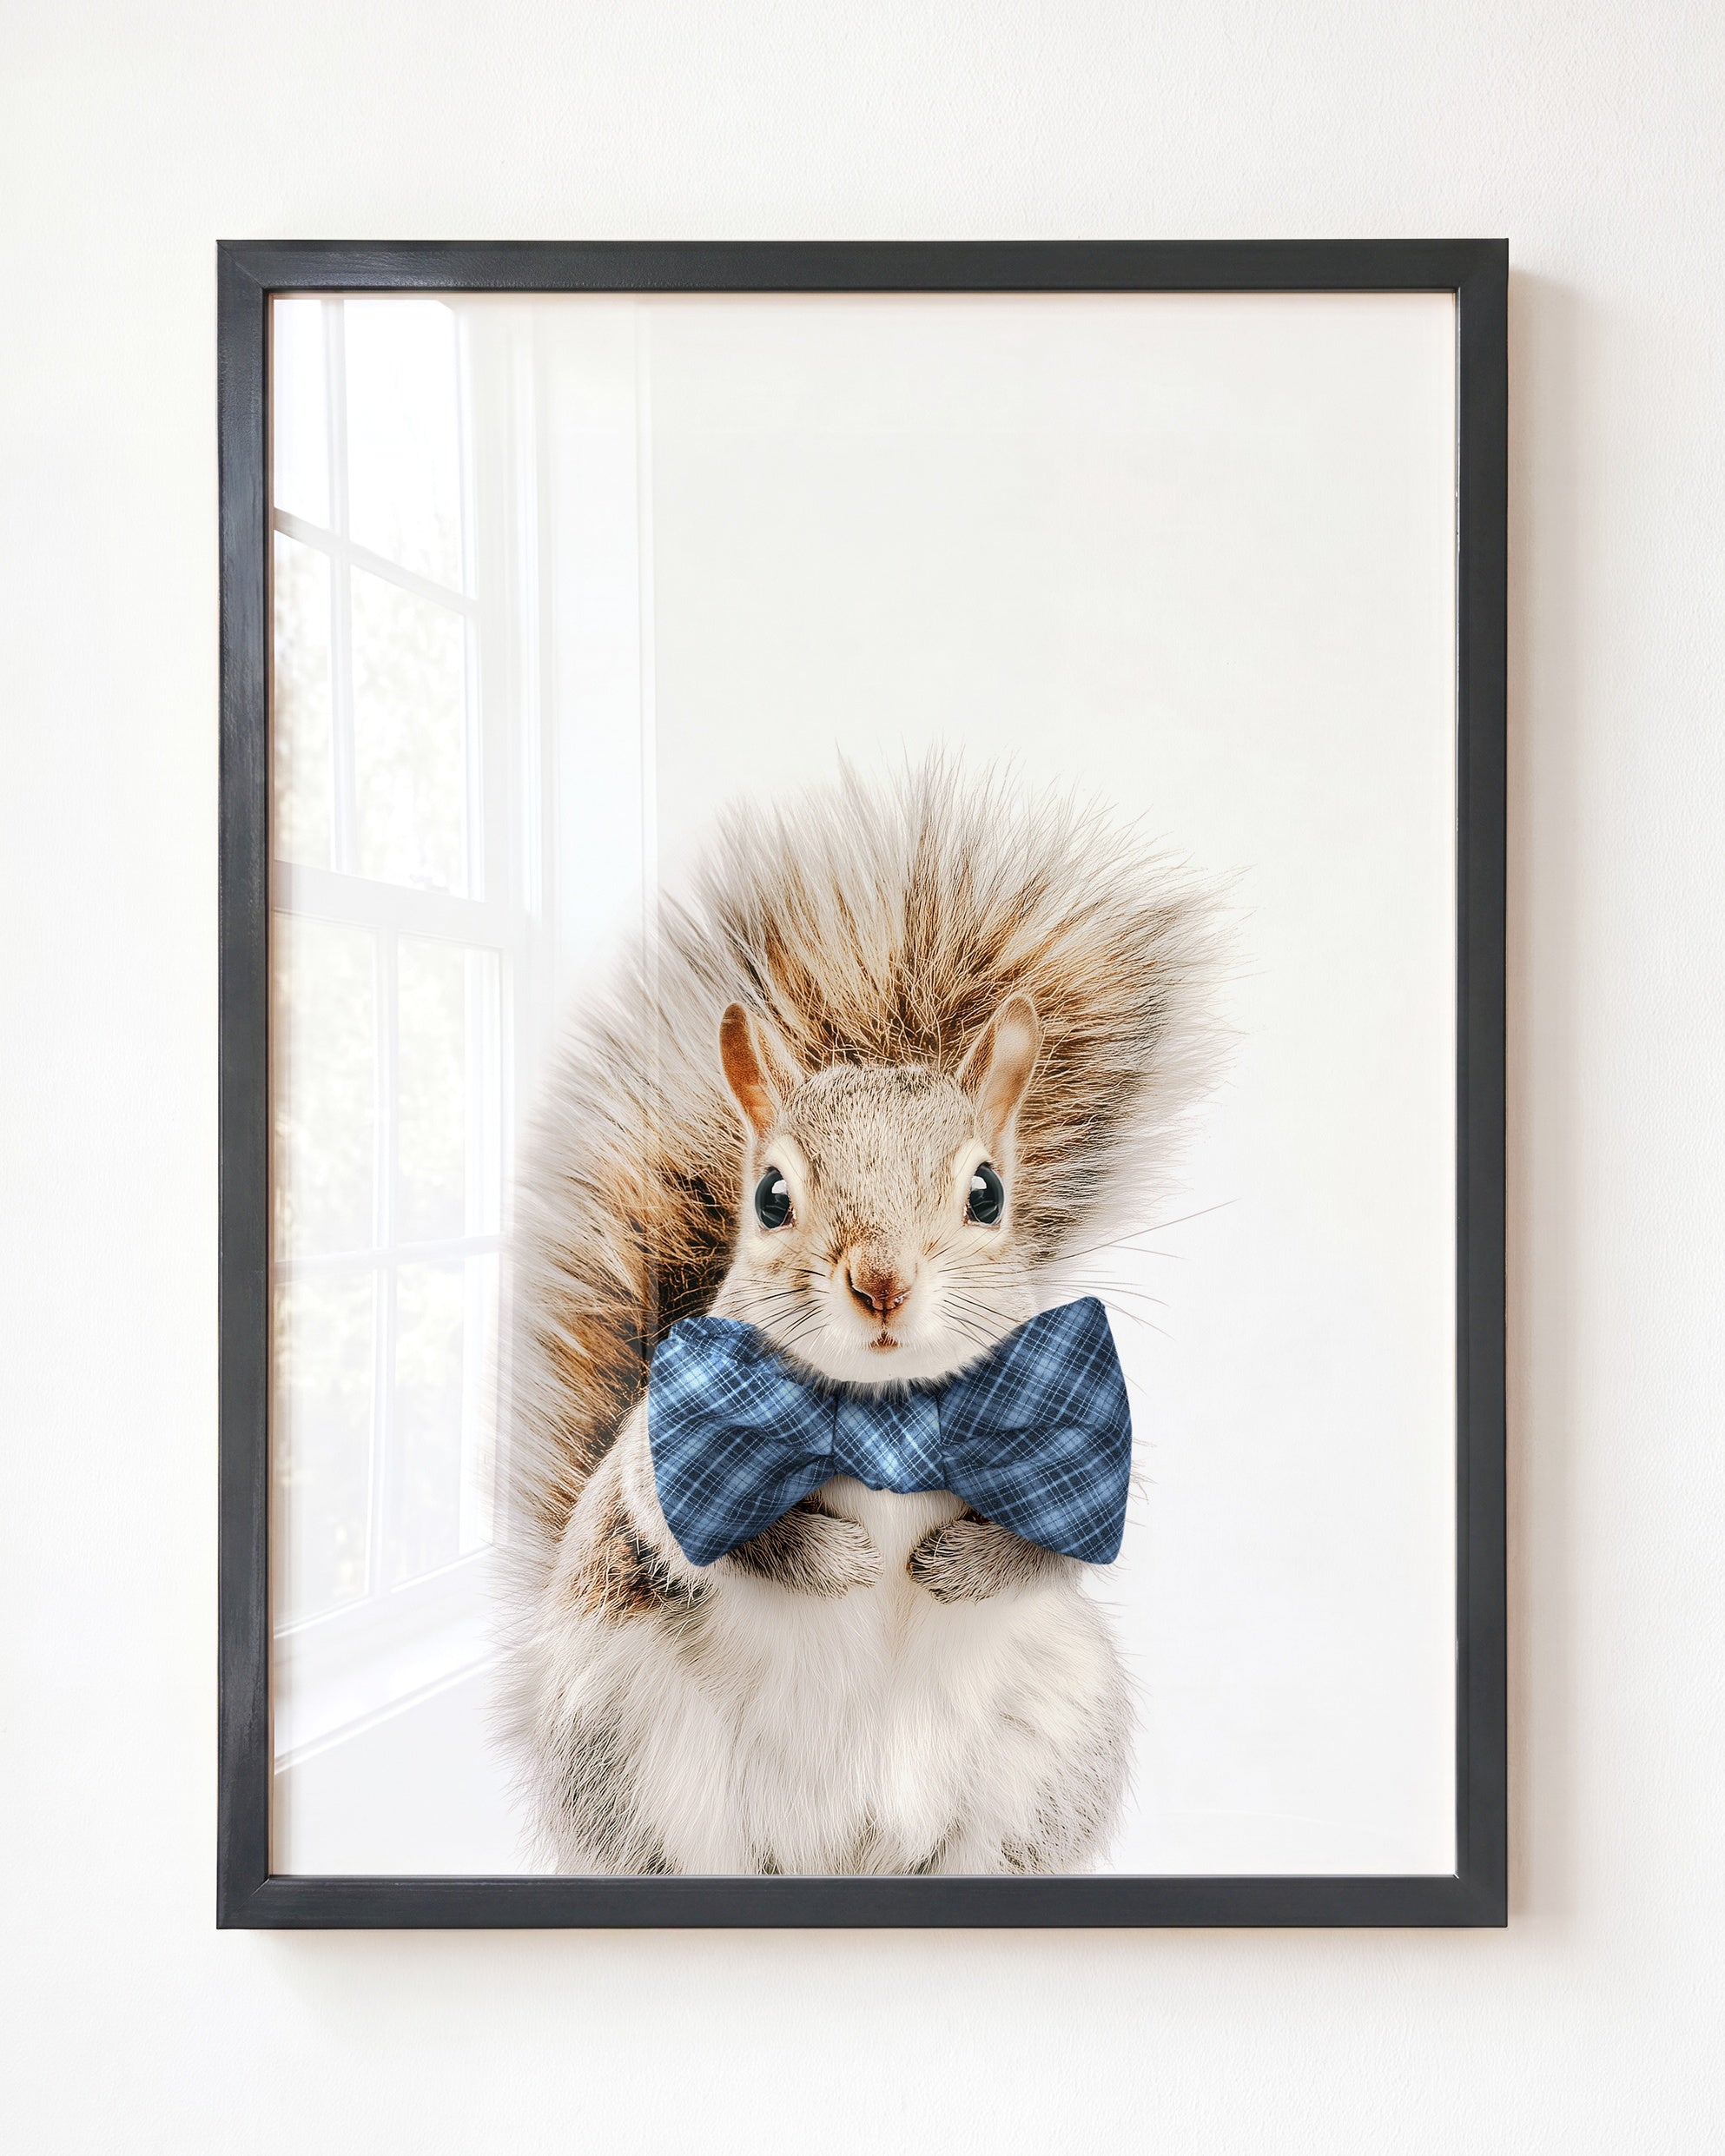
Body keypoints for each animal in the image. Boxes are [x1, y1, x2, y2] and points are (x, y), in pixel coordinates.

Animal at [495, 759, 1218, 1875]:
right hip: (638, 1757)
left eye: (987, 1194)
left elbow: (1059, 1544)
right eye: (770, 1197)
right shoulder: (663, 1459)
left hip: (1044, 1753)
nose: (881, 1282)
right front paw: (833, 1559)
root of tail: (848, 1851)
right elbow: (710, 1530)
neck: (885, 1415)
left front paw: (960, 1565)